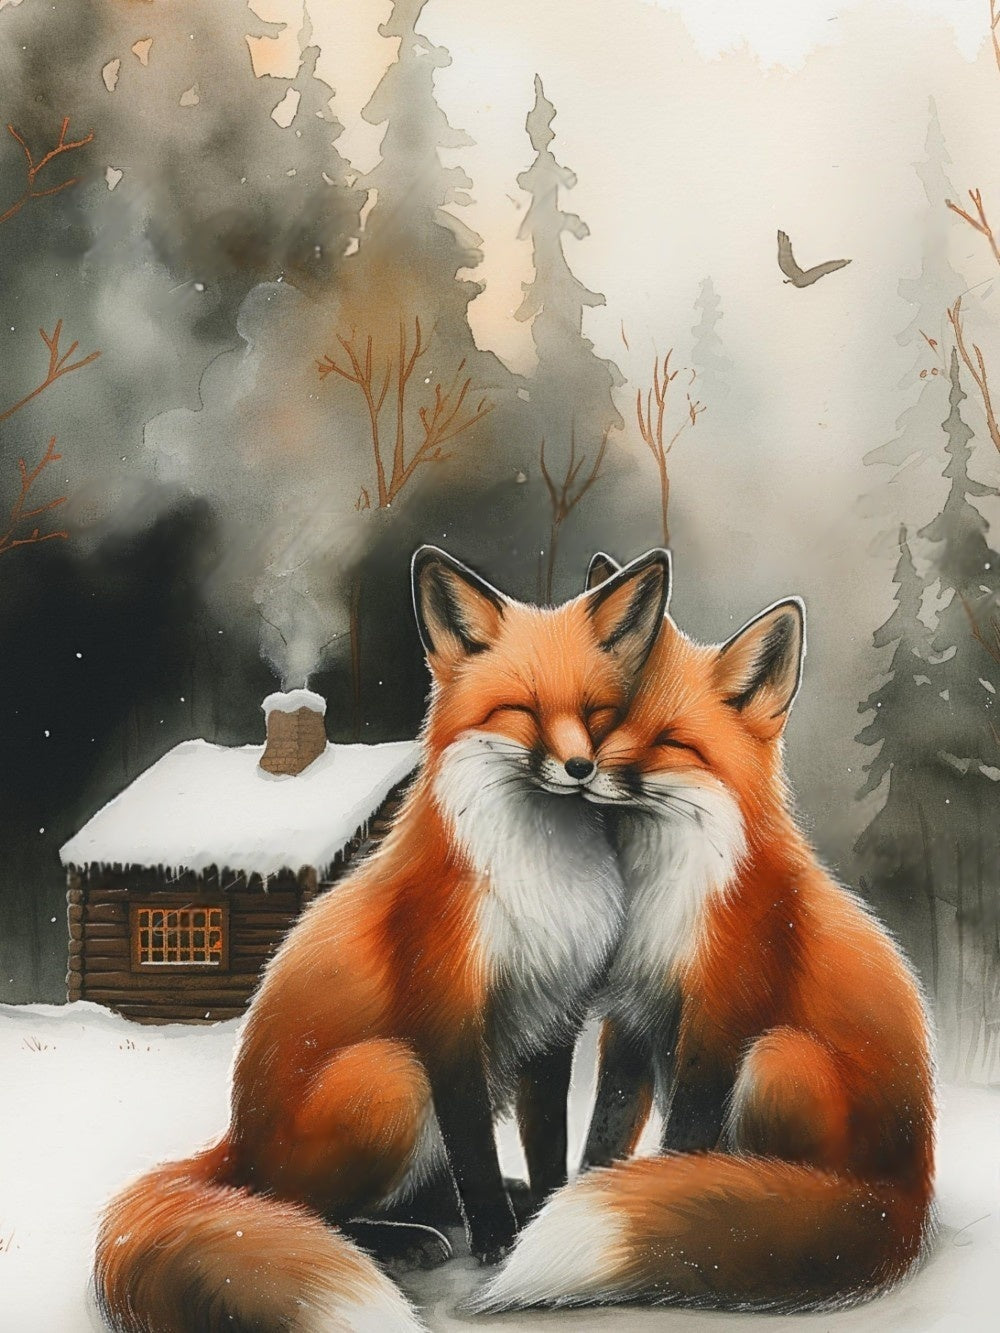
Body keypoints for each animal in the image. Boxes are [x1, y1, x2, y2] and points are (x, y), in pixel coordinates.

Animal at [92, 543, 670, 1333]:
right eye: (521, 710)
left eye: (598, 714)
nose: (580, 768)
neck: (541, 881)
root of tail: (236, 1147)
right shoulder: (447, 1019)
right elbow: (474, 1155)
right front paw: (498, 1242)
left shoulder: (555, 1018)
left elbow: (546, 1139)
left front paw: (542, 1216)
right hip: (391, 1076)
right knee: (306, 1209)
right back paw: (400, 1238)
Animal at [474, 552, 936, 1315]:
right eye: (609, 720)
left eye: (669, 742)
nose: (586, 769)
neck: (663, 902)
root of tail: (905, 1202)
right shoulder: (632, 1018)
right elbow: (607, 1131)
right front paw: (596, 1189)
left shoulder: (719, 1020)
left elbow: (683, 1136)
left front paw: (666, 1199)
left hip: (779, 1058)